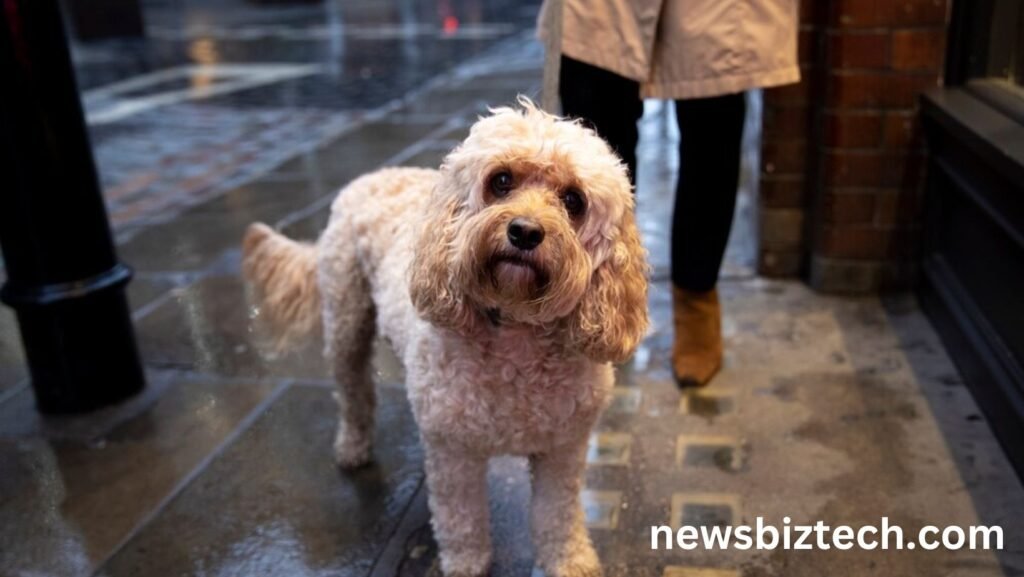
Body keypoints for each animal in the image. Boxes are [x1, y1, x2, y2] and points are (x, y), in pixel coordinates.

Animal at [239, 100, 647, 577]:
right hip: (346, 325)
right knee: (355, 394)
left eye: (573, 200)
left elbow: (557, 516)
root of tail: (373, 175)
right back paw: (353, 448)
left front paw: (569, 562)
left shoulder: (562, 450)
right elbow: (461, 519)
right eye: (501, 181)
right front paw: (467, 564)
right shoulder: (454, 453)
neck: (516, 331)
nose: (525, 231)